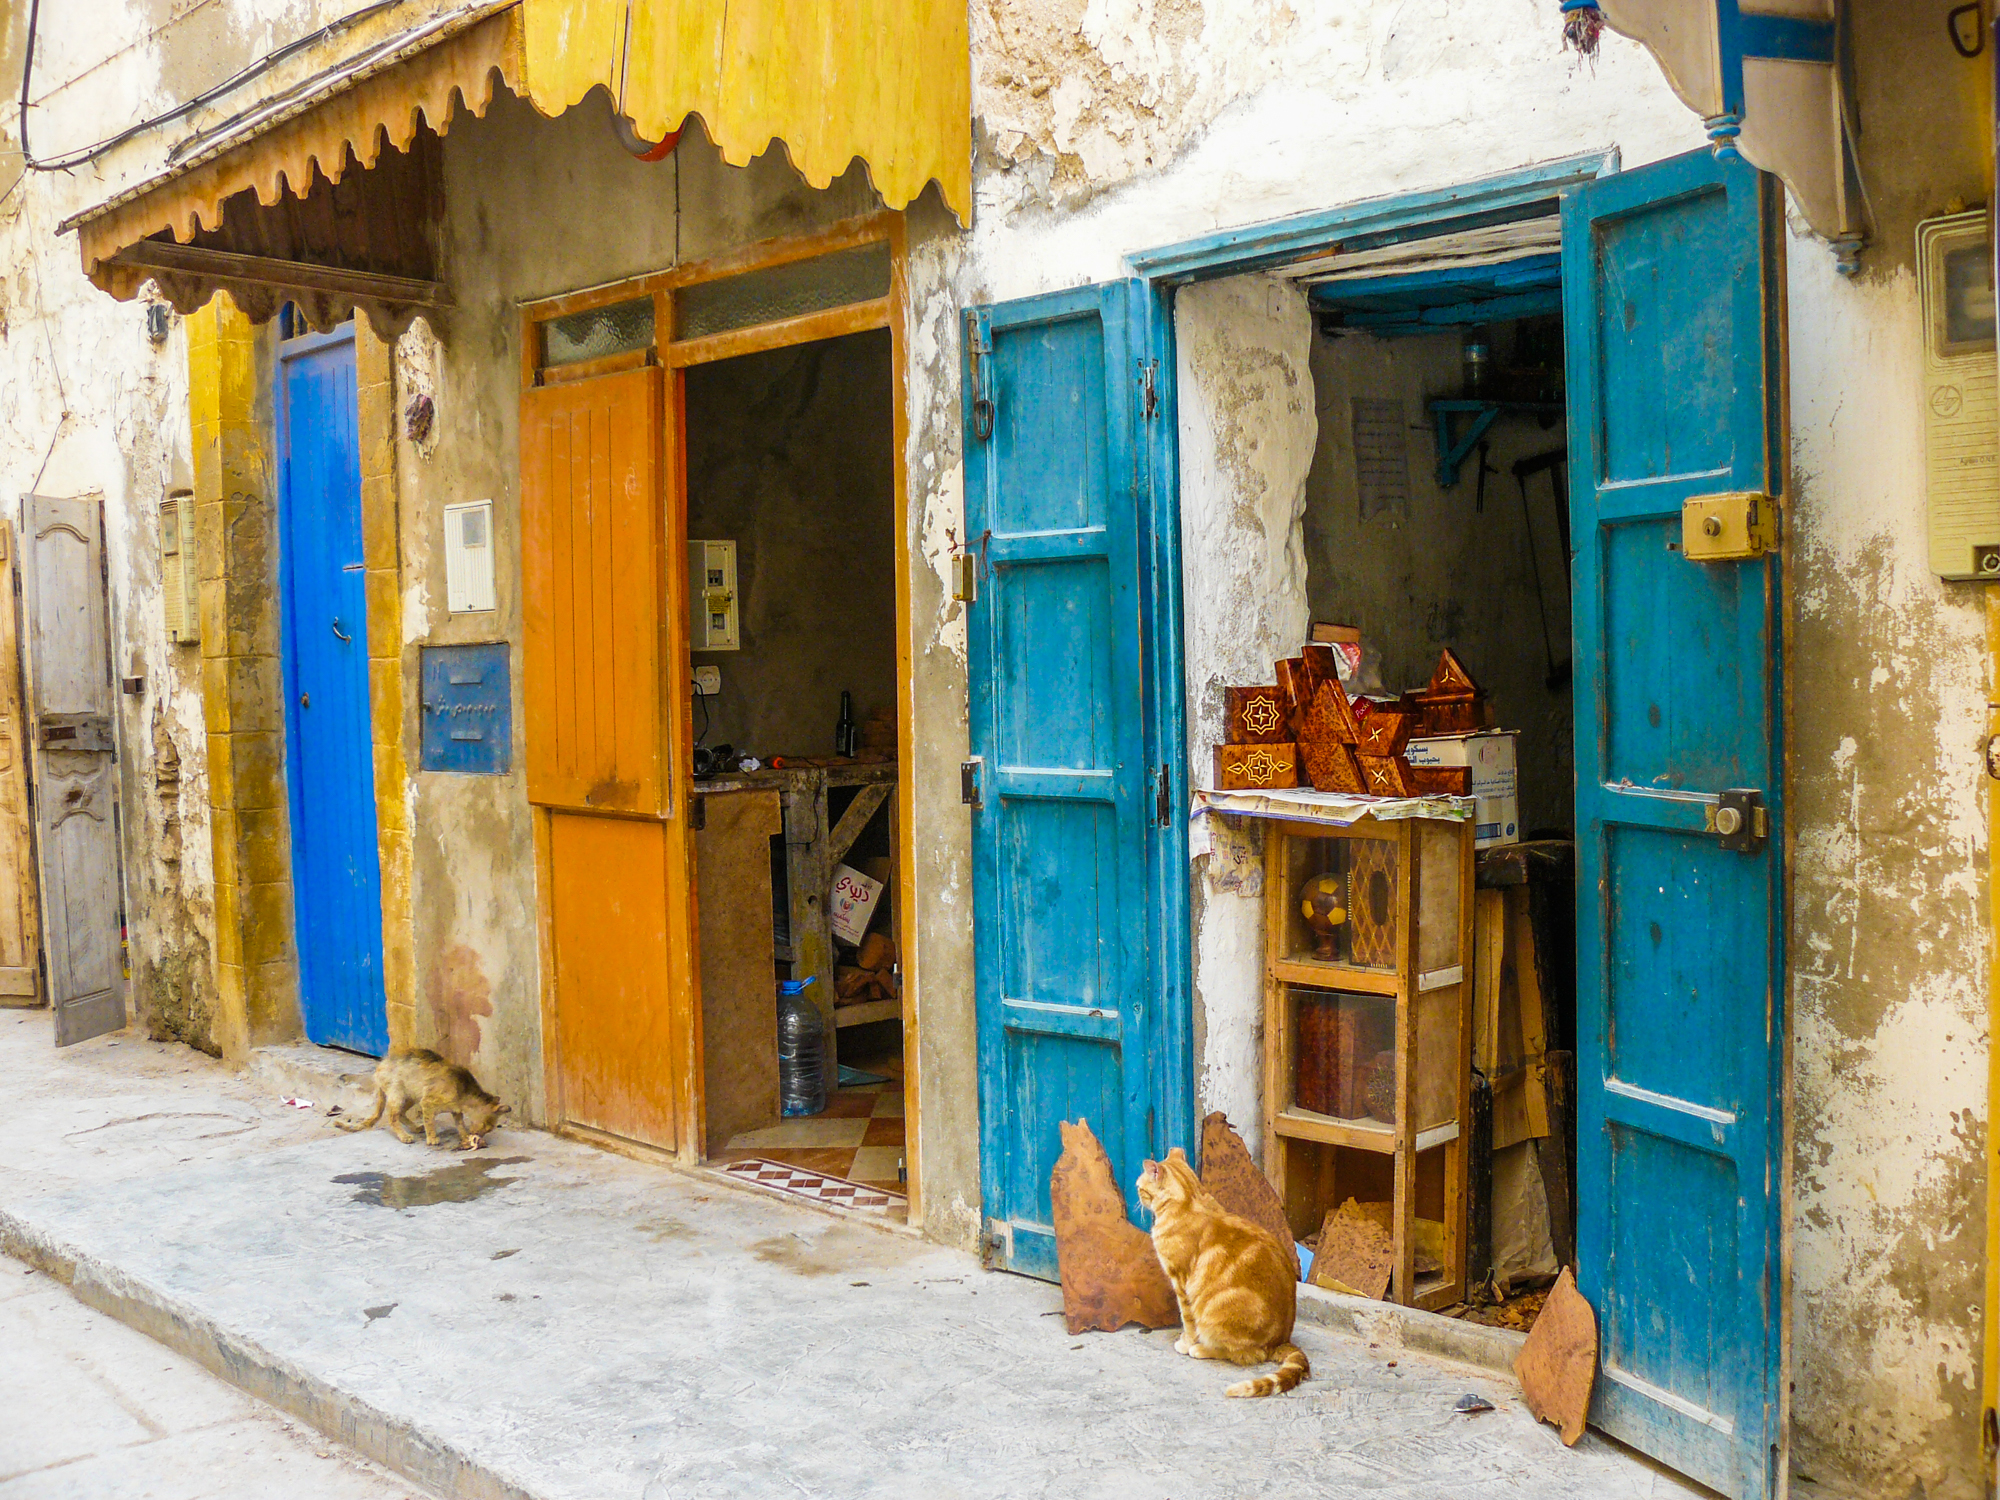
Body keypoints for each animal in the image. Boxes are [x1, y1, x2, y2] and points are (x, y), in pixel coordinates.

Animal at [338, 1048, 512, 1160]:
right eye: (487, 1127)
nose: (480, 1136)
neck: (465, 1095)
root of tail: (380, 1065)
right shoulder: (427, 1102)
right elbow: (430, 1121)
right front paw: (432, 1138)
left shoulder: (455, 1110)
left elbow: (460, 1124)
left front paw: (464, 1137)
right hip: (398, 1093)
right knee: (392, 1116)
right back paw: (405, 1136)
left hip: (411, 1095)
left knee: (401, 1113)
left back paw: (415, 1128)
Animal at [1144, 1152, 1312, 1400]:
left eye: (1139, 1188)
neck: (1190, 1199)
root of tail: (1281, 1341)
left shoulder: (1181, 1282)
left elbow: (1188, 1320)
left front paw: (1186, 1342)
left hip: (1218, 1308)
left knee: (1244, 1354)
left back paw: (1200, 1348)